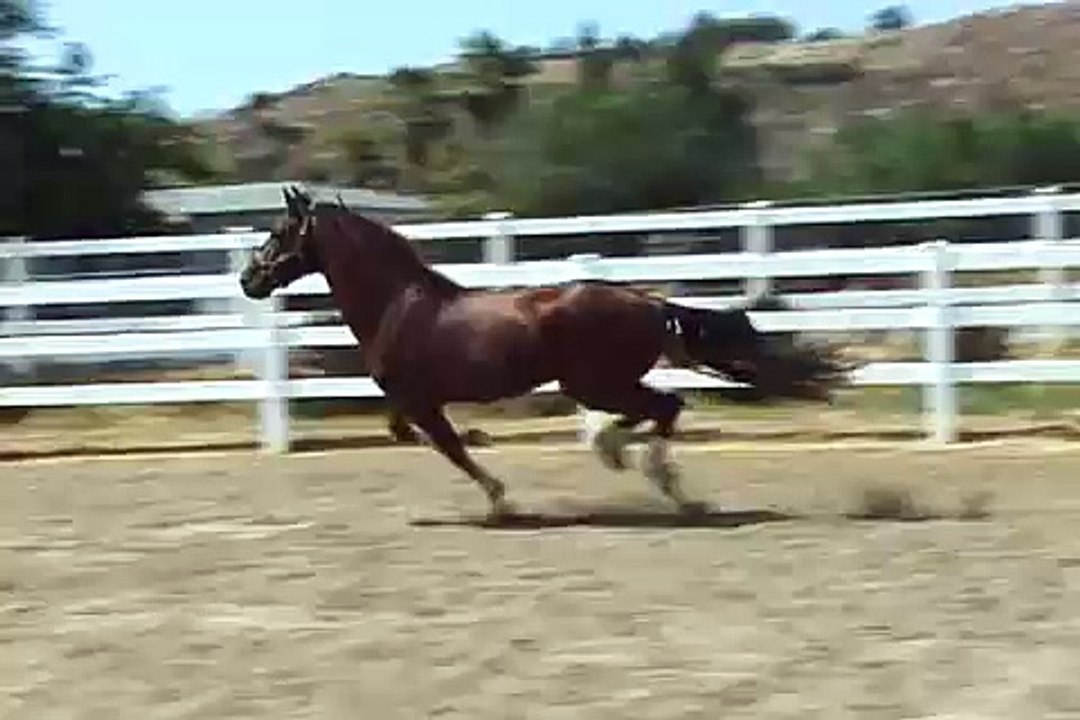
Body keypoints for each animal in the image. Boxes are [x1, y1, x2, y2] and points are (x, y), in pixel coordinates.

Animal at [239, 185, 847, 517]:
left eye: (278, 232)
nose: (249, 279)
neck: (398, 303)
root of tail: (649, 301)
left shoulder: (419, 399)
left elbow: (447, 445)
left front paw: (501, 498)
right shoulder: (410, 400)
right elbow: (418, 436)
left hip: (595, 382)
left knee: (665, 407)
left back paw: (643, 470)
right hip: (598, 383)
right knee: (657, 409)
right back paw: (633, 462)